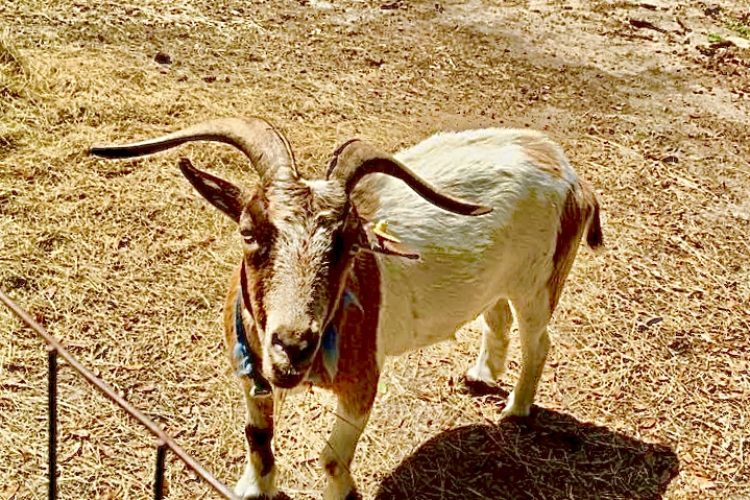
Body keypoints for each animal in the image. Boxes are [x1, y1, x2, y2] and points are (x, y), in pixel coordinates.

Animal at [91, 117, 602, 500]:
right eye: (248, 231)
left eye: (349, 244)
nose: (294, 345)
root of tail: (569, 174)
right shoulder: (250, 369)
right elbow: (257, 436)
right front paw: (255, 487)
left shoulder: (361, 381)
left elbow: (332, 458)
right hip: (497, 283)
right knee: (496, 317)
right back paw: (480, 376)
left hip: (538, 282)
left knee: (538, 339)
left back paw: (515, 409)